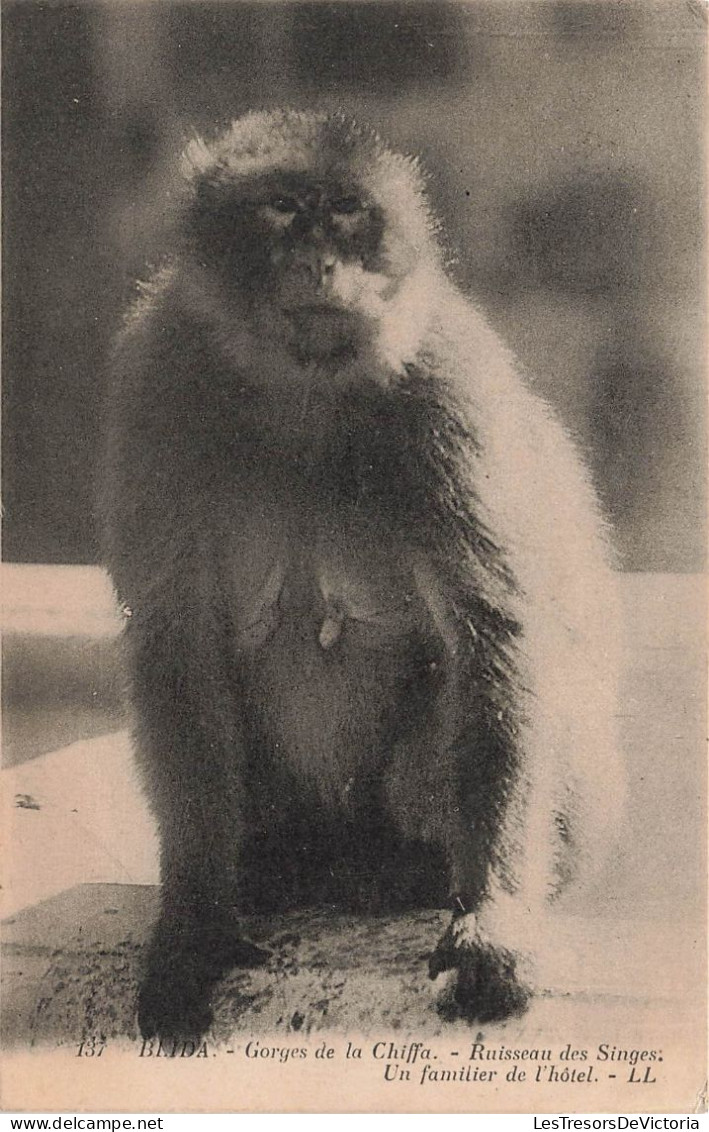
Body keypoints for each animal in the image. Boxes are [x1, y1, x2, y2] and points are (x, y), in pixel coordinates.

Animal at [99, 110, 625, 1036]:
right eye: (280, 207)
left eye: (346, 211)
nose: (319, 261)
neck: (301, 396)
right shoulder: (158, 385)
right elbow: (175, 644)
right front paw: (195, 914)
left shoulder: (448, 384)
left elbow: (495, 631)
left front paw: (491, 918)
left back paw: (410, 872)